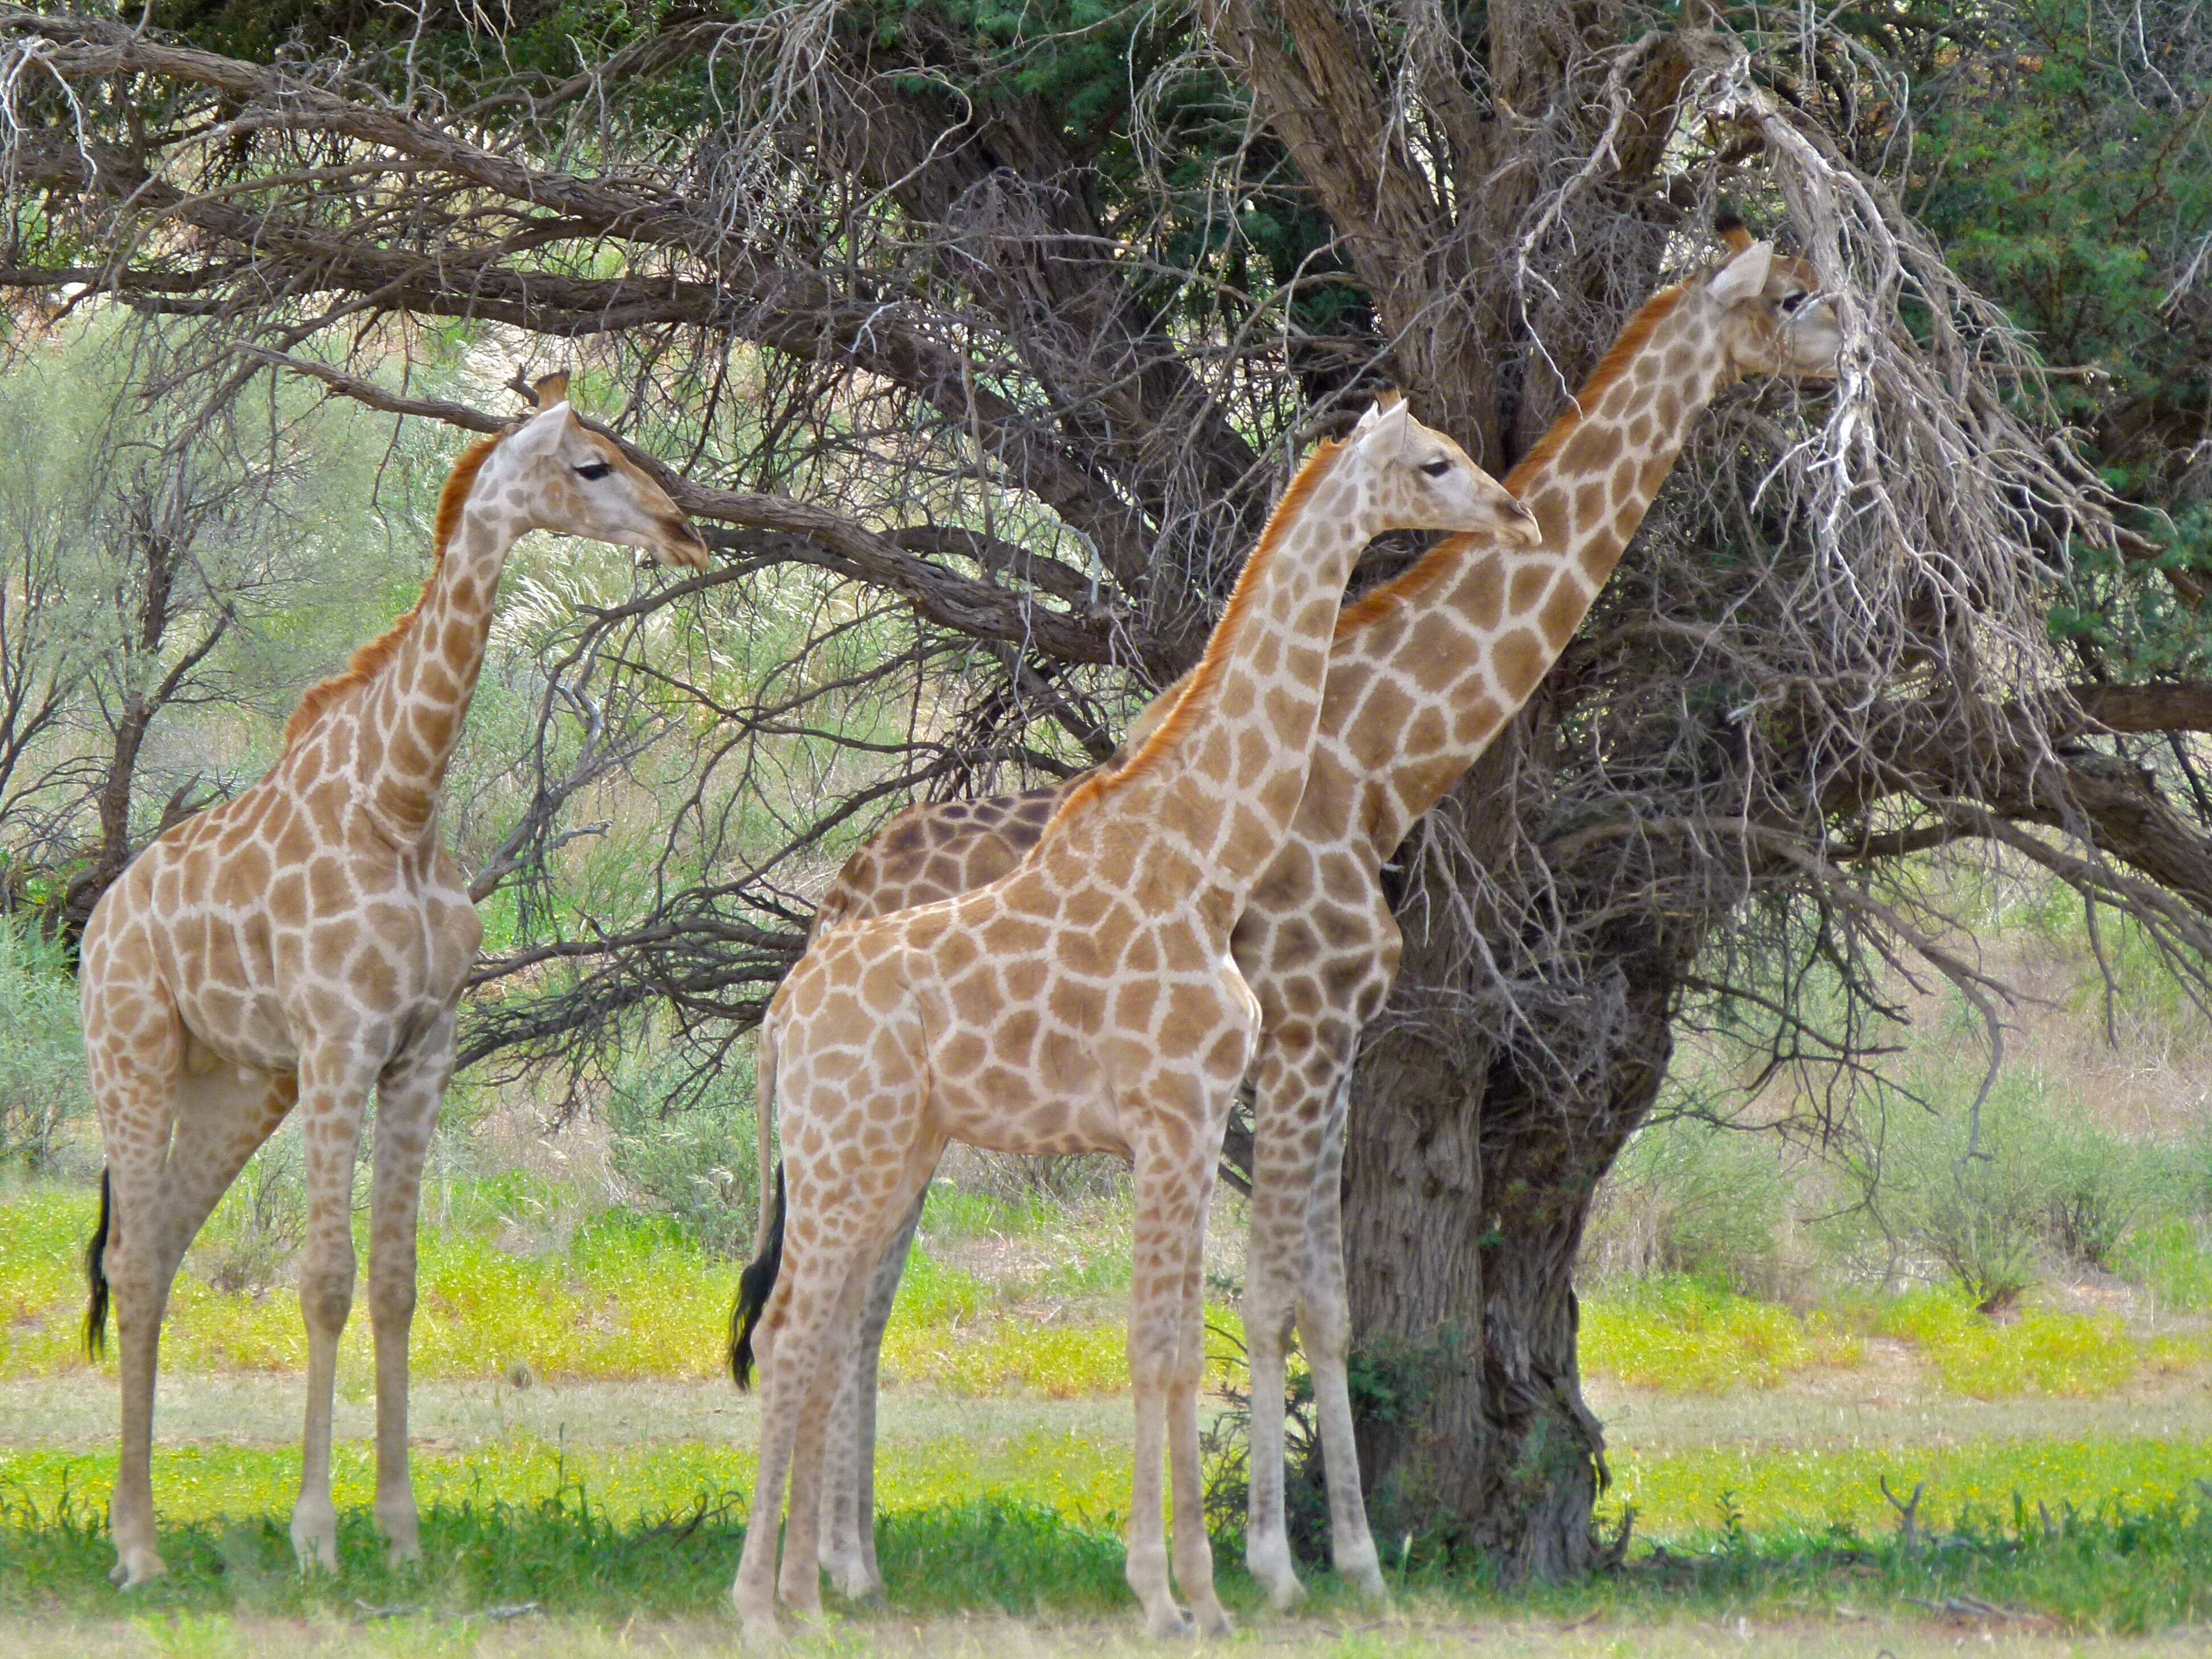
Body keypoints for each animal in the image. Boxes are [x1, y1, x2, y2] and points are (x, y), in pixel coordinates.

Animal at [80, 374, 708, 1583]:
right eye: (593, 465)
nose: (685, 531)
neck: (403, 800)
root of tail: (100, 922)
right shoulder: (340, 1040)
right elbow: (323, 1279)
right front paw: (317, 1536)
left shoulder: (422, 1051)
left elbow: (396, 1282)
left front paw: (403, 1532)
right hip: (133, 1052)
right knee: (131, 1261)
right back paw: (135, 1548)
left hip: (236, 1083)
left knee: (163, 1249)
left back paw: (149, 1530)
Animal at [725, 395, 1540, 1645]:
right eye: (1434, 462)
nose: (1513, 513)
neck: (1202, 859)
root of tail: (778, 1020)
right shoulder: (1173, 1118)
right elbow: (1160, 1348)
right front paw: (1169, 1593)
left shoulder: (1194, 1126)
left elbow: (1180, 1347)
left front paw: (1198, 1592)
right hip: (842, 1153)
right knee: (790, 1329)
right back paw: (763, 1603)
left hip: (877, 1155)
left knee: (821, 1330)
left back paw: (806, 1599)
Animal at [805, 224, 1840, 1610]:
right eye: (1790, 295)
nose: (1851, 351)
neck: (1380, 758)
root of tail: (840, 891)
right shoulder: (1300, 1024)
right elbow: (1272, 1294)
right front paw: (1275, 1562)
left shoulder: (1340, 1030)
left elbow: (1330, 1303)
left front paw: (1345, 1558)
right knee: (851, 1292)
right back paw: (843, 1564)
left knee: (860, 1296)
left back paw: (852, 1565)